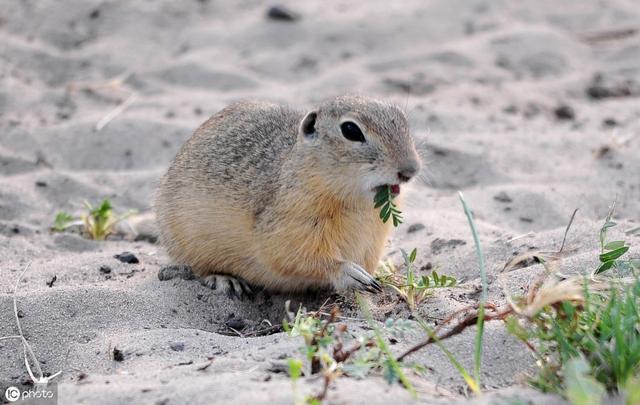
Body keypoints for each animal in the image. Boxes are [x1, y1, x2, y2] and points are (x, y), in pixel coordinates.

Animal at [156, 95, 420, 296]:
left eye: (403, 120)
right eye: (350, 130)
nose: (410, 170)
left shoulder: (374, 240)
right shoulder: (291, 223)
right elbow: (293, 255)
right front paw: (349, 273)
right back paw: (224, 280)